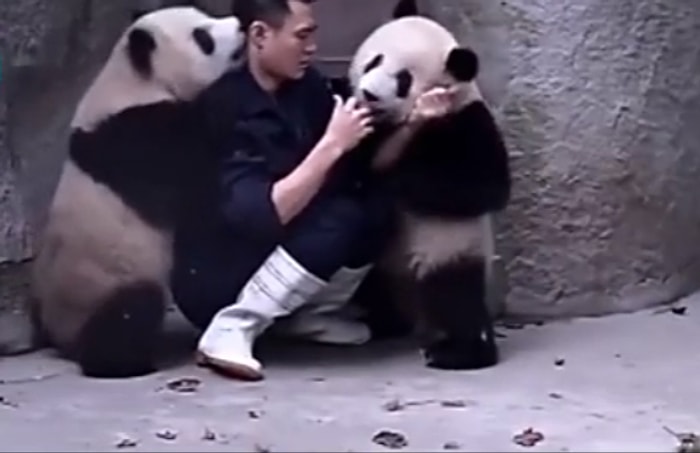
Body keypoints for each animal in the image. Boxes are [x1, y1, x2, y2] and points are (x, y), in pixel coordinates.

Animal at [29, 6, 245, 379]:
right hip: (104, 282)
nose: (242, 27)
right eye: (203, 37)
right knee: (130, 312)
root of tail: (59, 337)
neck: (135, 82)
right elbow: (191, 182)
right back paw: (127, 364)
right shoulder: (137, 138)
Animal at [344, 0, 512, 371]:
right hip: (381, 264)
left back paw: (457, 352)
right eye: (375, 60)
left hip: (448, 248)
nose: (368, 93)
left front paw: (394, 179)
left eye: (403, 80)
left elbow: (485, 186)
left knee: (455, 297)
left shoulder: (465, 120)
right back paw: (374, 320)